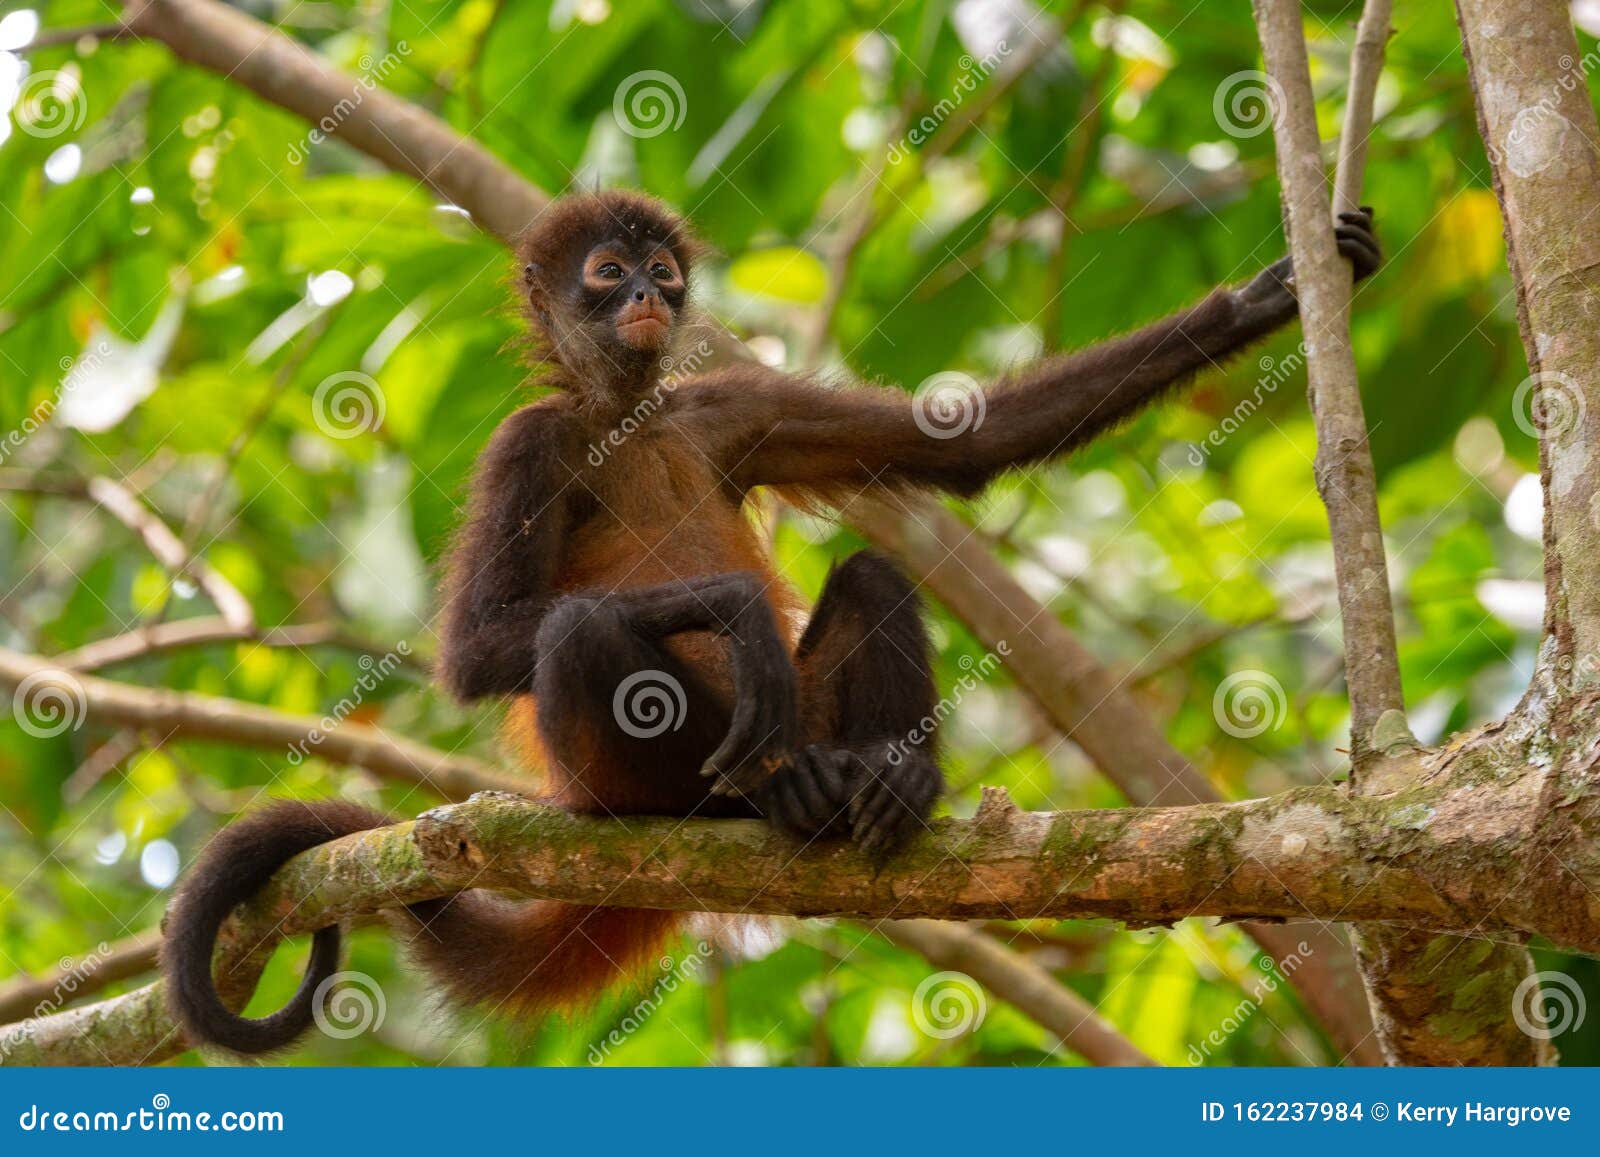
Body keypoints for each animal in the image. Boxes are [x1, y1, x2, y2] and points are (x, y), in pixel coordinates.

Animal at [165, 188, 1388, 1049]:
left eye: (661, 272)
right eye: (605, 273)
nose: (647, 296)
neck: (626, 417)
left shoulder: (722, 407)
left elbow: (968, 446)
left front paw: (1271, 295)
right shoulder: (526, 440)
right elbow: (475, 655)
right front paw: (735, 607)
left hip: (811, 705)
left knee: (871, 573)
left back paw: (884, 780)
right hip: (613, 782)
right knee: (581, 640)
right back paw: (762, 792)